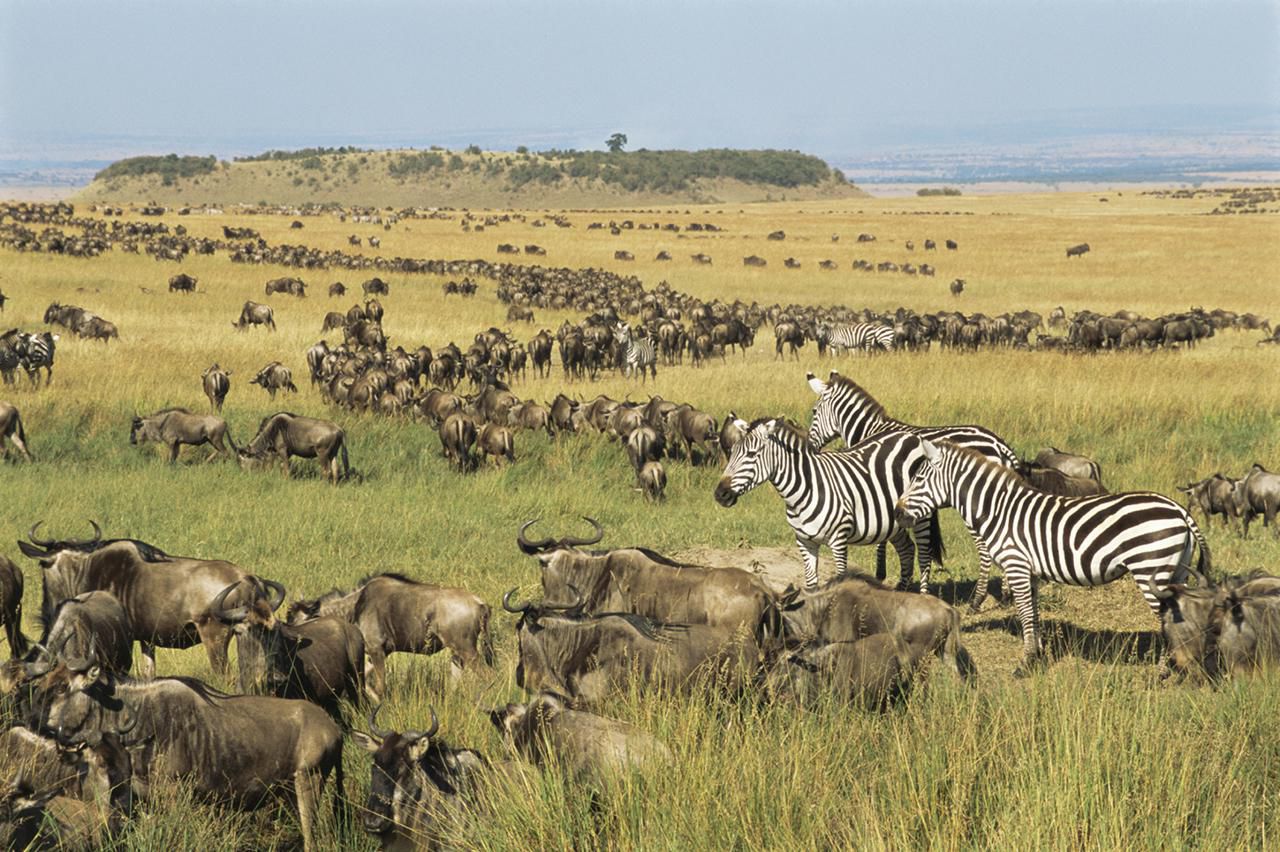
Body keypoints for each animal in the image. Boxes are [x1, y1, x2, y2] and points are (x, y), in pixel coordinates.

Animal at [711, 417, 942, 591]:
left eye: (751, 454)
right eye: (732, 453)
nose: (720, 494)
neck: (804, 489)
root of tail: (911, 436)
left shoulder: (838, 540)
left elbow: (840, 579)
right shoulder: (804, 542)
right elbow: (811, 583)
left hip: (921, 515)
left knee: (923, 557)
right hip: (893, 521)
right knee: (907, 549)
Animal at [808, 370, 1018, 603]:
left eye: (814, 411)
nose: (810, 446)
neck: (872, 430)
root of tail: (999, 444)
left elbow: (883, 538)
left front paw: (880, 573)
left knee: (985, 547)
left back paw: (979, 598)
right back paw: (1007, 594)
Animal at [890, 440, 1208, 675]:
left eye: (918, 478)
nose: (897, 513)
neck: (999, 509)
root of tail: (1179, 510)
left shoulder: (1016, 566)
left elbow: (1025, 614)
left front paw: (1025, 664)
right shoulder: (1030, 572)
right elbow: (1034, 613)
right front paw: (1038, 656)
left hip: (1150, 570)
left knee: (1170, 618)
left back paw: (1162, 672)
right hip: (1176, 572)